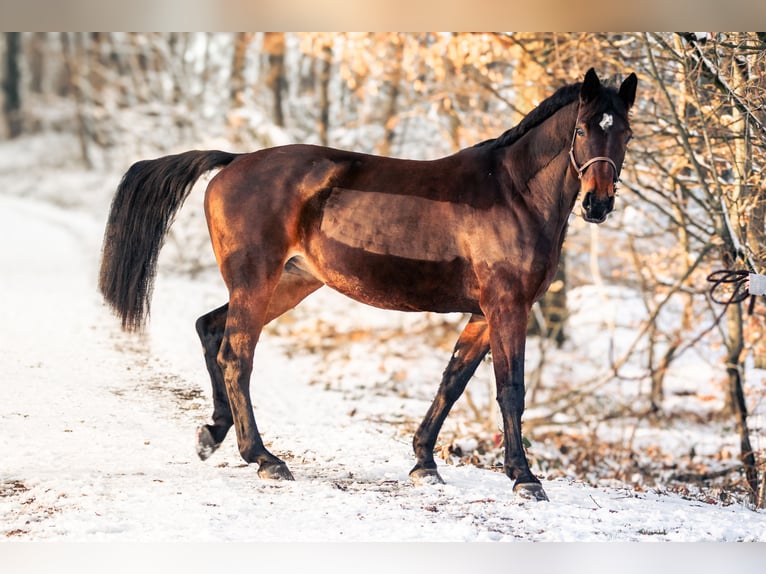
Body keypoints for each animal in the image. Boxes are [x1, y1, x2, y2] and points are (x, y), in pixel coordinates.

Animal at [99, 66, 640, 500]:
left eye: (627, 134)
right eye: (584, 128)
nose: (598, 204)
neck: (512, 193)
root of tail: (233, 161)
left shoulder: (483, 313)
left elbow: (452, 381)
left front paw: (424, 463)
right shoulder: (507, 306)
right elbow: (510, 389)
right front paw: (524, 478)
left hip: (289, 283)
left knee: (211, 330)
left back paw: (213, 434)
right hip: (256, 282)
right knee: (237, 355)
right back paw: (264, 458)